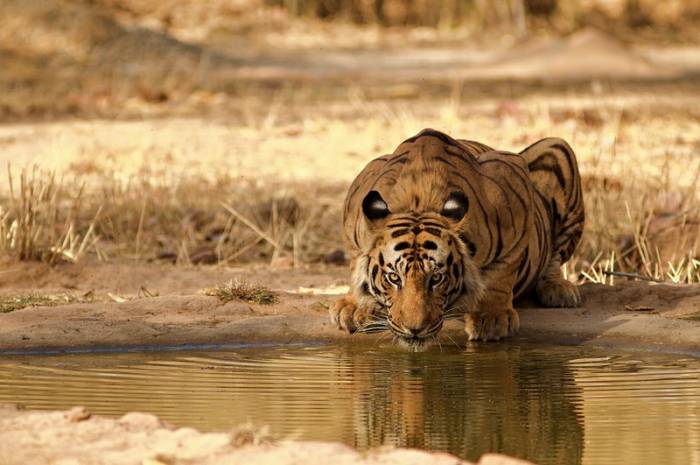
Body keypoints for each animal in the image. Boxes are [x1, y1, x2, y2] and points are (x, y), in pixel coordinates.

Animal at [330, 128, 584, 350]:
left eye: (436, 278)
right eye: (393, 278)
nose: (415, 330)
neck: (417, 200)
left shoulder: (513, 183)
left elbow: (501, 272)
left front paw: (491, 318)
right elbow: (356, 263)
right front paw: (354, 307)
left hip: (558, 147)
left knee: (555, 258)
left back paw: (559, 290)